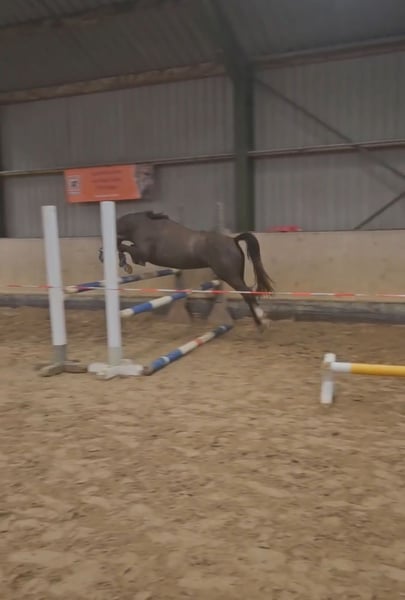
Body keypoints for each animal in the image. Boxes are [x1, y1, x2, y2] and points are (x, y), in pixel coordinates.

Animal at [98, 210, 274, 328]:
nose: (101, 255)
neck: (142, 226)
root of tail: (233, 240)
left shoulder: (142, 253)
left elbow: (123, 246)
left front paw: (124, 263)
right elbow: (123, 246)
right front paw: (124, 262)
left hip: (230, 276)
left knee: (247, 293)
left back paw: (262, 321)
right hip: (235, 275)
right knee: (248, 293)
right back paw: (260, 321)